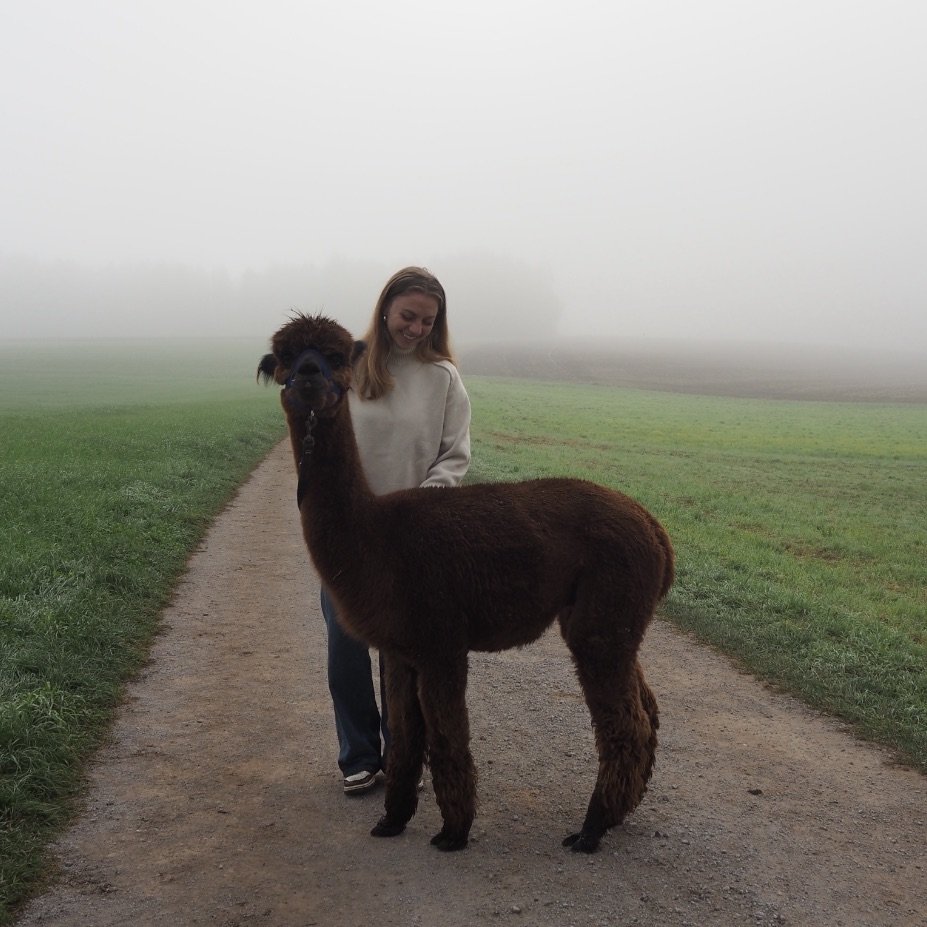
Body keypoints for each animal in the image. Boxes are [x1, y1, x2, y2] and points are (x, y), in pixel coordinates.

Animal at [258, 313, 674, 853]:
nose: (308, 376)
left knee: (626, 721)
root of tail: (654, 527)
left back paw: (591, 829)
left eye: (335, 356)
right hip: (615, 619)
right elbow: (406, 736)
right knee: (647, 708)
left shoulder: (441, 642)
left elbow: (446, 735)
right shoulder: (400, 648)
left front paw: (453, 832)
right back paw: (619, 812)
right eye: (287, 356)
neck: (377, 539)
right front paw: (392, 820)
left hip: (604, 616)